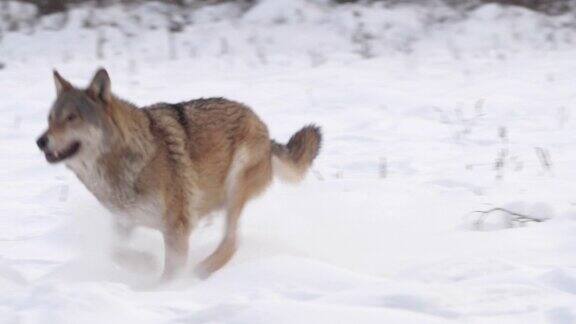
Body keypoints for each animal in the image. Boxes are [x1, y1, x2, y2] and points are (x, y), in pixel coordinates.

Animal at [37, 69, 322, 280]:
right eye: (50, 118)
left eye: (72, 118)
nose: (40, 141)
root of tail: (264, 129)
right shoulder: (125, 221)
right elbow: (114, 252)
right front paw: (145, 264)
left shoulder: (176, 226)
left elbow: (170, 270)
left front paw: (164, 290)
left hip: (235, 187)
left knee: (232, 242)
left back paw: (201, 272)